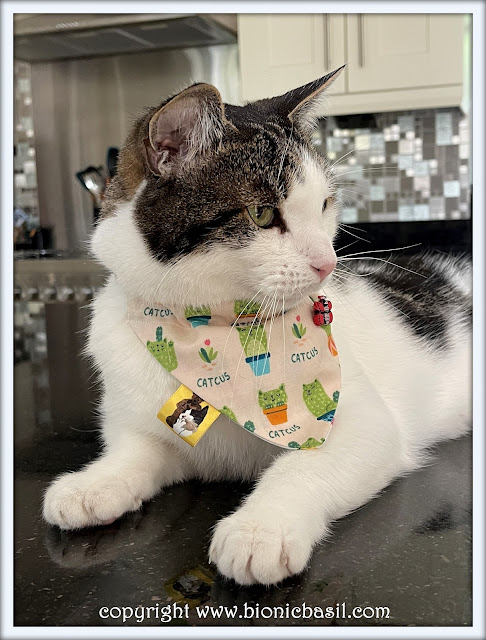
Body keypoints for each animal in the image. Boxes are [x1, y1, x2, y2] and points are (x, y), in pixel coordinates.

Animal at [42, 65, 470, 584]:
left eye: (324, 204)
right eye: (262, 214)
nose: (328, 263)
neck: (212, 327)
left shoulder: (362, 424)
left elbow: (304, 466)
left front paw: (261, 528)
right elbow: (135, 449)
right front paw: (94, 483)